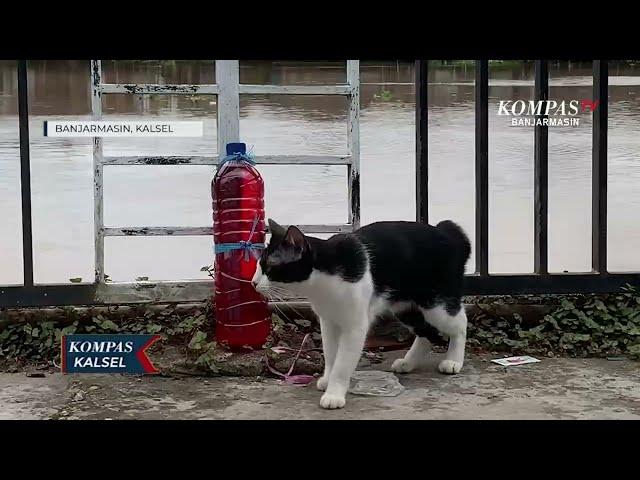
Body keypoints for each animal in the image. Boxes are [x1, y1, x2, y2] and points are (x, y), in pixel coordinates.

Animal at [252, 218, 472, 408]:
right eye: (258, 265)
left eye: (269, 266)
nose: (253, 282)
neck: (322, 281)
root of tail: (447, 233)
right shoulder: (328, 322)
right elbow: (331, 355)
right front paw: (327, 379)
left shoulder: (355, 326)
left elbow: (342, 363)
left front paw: (334, 394)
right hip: (405, 307)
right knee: (426, 332)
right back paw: (408, 362)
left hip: (436, 304)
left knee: (460, 323)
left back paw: (453, 361)